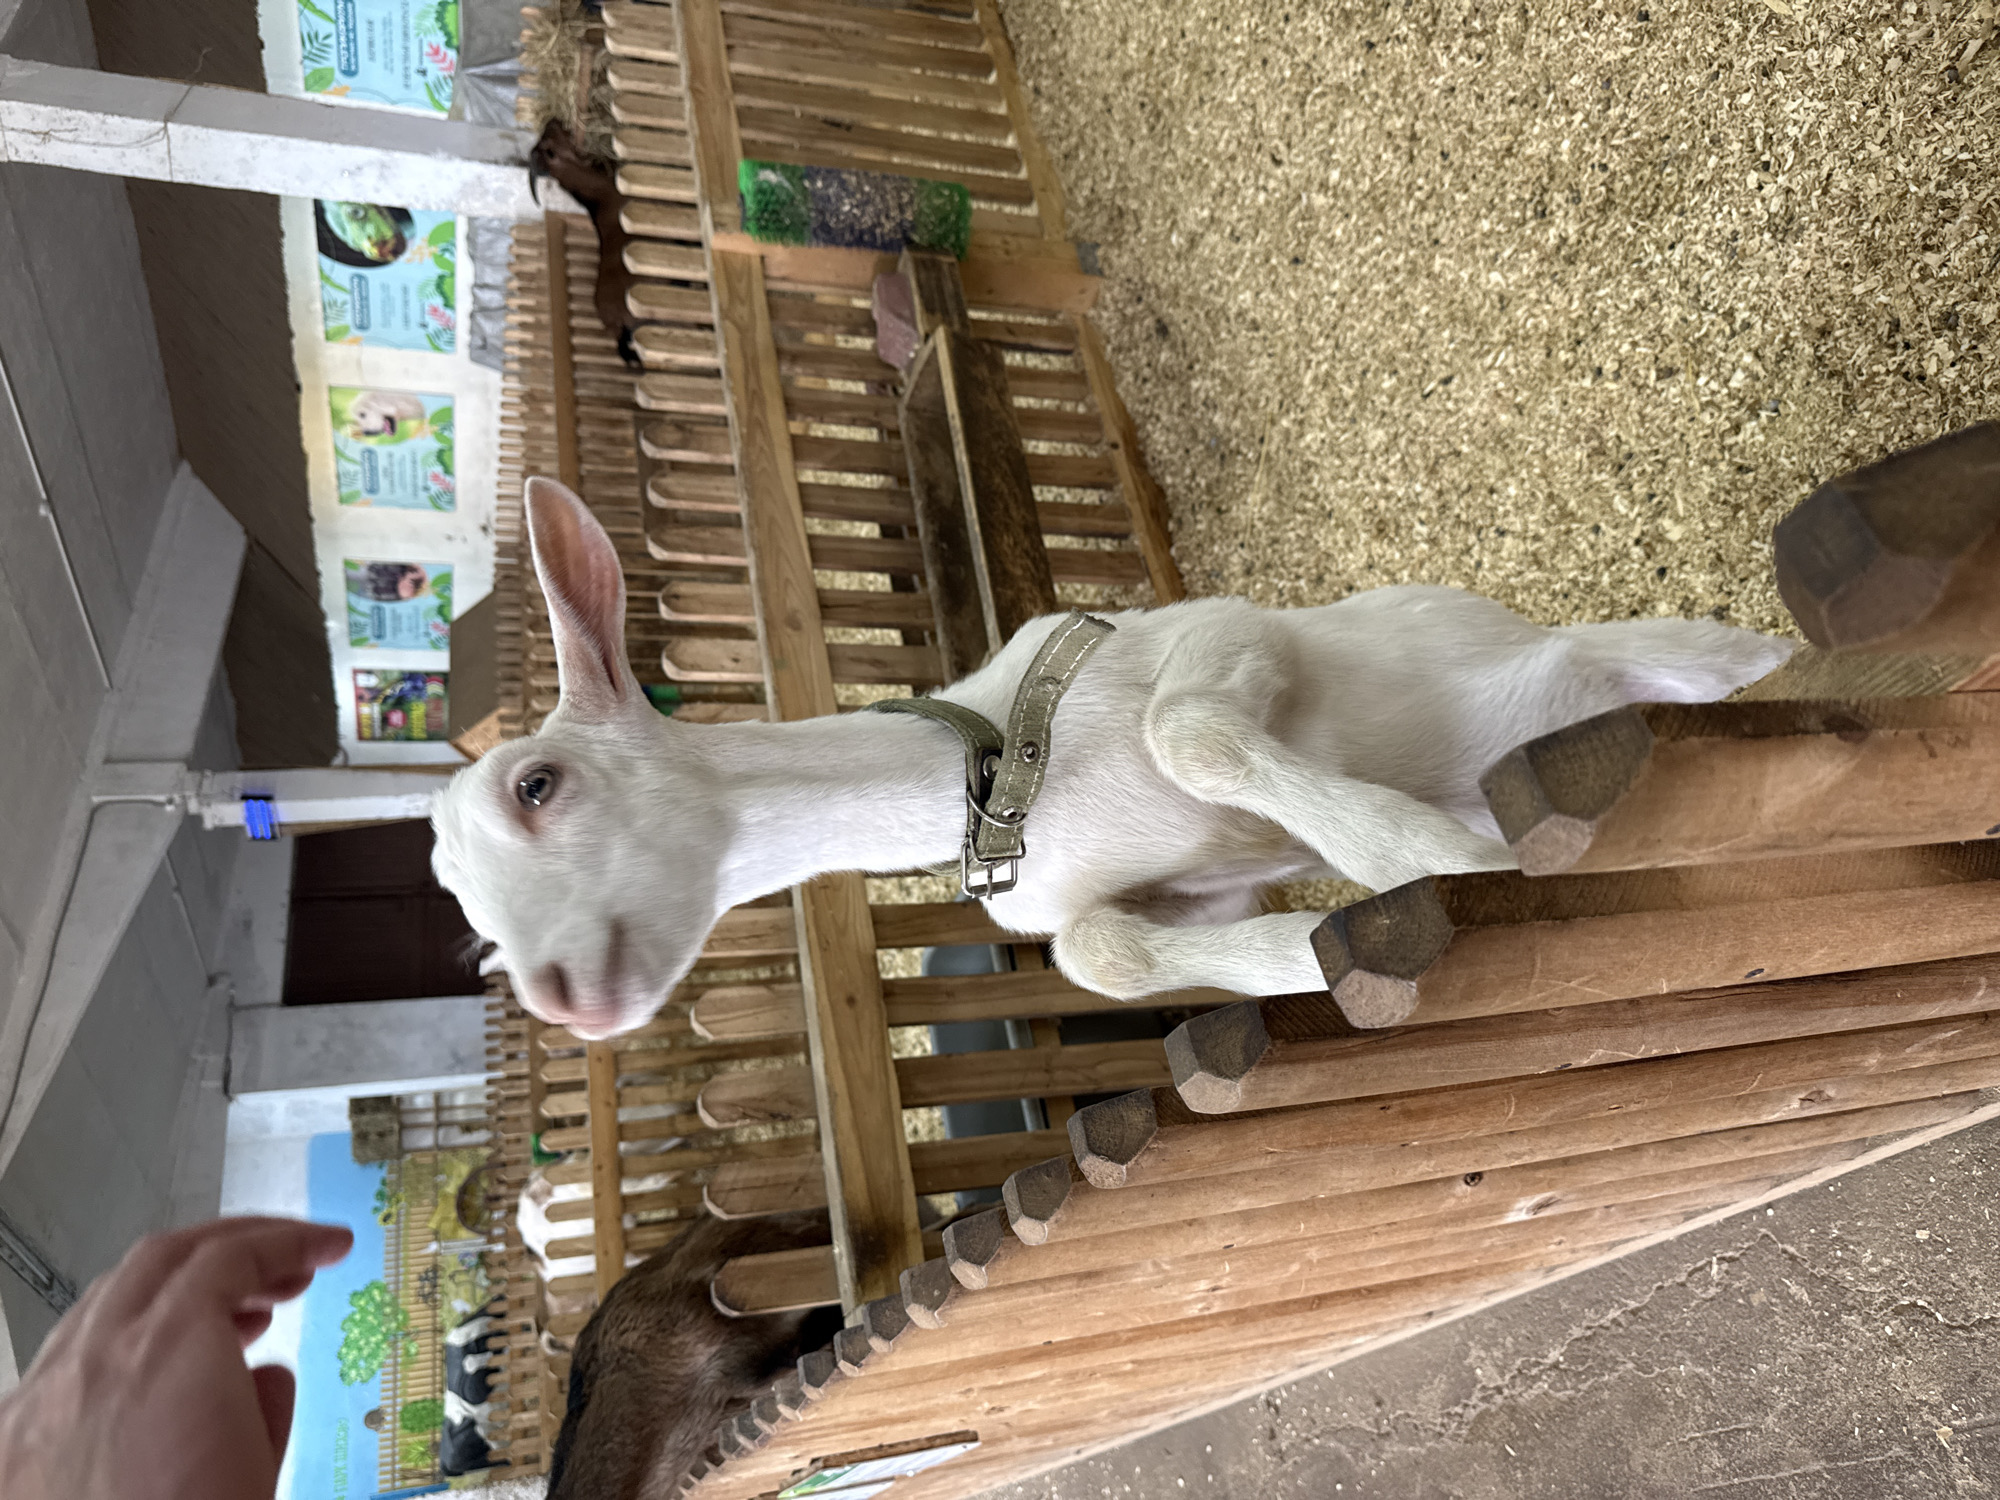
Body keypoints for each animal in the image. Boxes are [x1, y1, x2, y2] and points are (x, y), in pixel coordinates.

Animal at [432, 478, 1794, 1039]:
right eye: (464, 914)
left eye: (537, 785)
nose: (564, 998)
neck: (1006, 773)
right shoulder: (1170, 891)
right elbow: (1104, 952)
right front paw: (1310, 951)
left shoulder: (1218, 635)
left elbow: (1185, 731)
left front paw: (1427, 849)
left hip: (1628, 654)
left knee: (1721, 661)